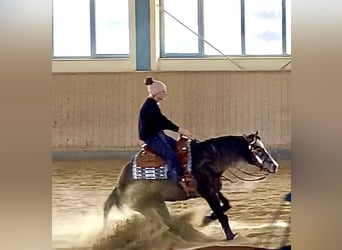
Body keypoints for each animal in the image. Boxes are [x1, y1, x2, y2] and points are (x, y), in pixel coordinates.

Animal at [103, 131, 280, 240]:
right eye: (258, 149)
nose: (275, 166)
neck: (207, 159)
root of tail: (119, 186)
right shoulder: (207, 193)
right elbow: (222, 215)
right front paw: (230, 237)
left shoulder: (214, 189)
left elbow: (226, 206)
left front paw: (206, 219)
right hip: (145, 205)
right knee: (166, 223)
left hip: (158, 203)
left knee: (169, 223)